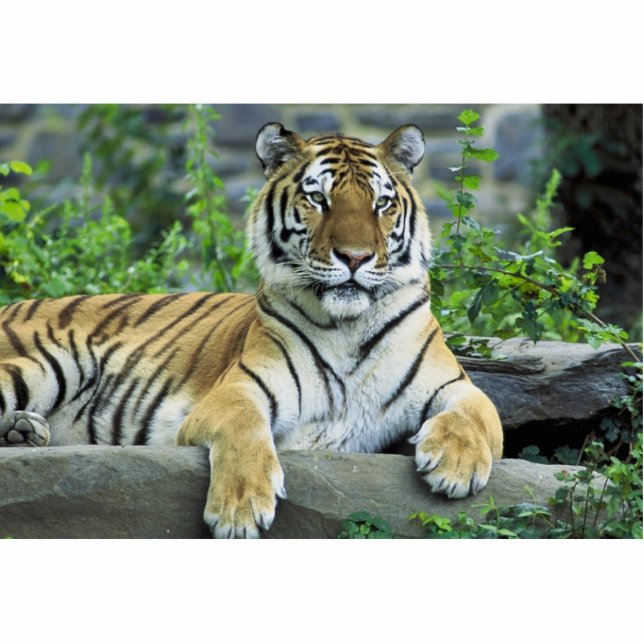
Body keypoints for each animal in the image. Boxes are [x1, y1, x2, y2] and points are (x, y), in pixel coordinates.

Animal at [0, 122, 503, 538]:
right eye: (318, 199)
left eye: (382, 203)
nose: (355, 257)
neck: (348, 326)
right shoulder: (238, 389)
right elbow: (245, 428)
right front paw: (239, 511)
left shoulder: (454, 384)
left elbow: (477, 412)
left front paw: (455, 467)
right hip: (49, 363)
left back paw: (24, 432)